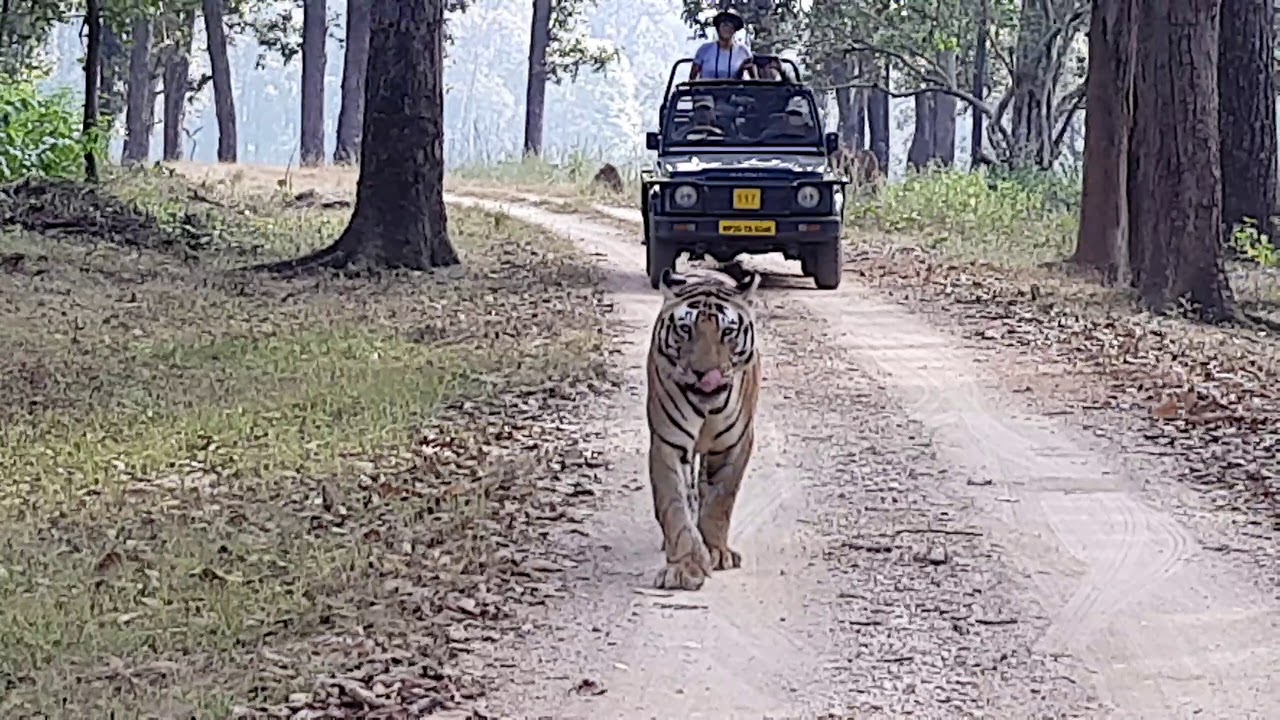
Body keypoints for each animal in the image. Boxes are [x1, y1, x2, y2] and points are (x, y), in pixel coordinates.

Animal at [645, 265, 762, 591]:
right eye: (686, 329)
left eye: (727, 332)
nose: (704, 373)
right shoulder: (668, 444)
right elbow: (674, 506)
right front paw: (684, 567)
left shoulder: (734, 444)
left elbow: (720, 501)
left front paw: (715, 551)